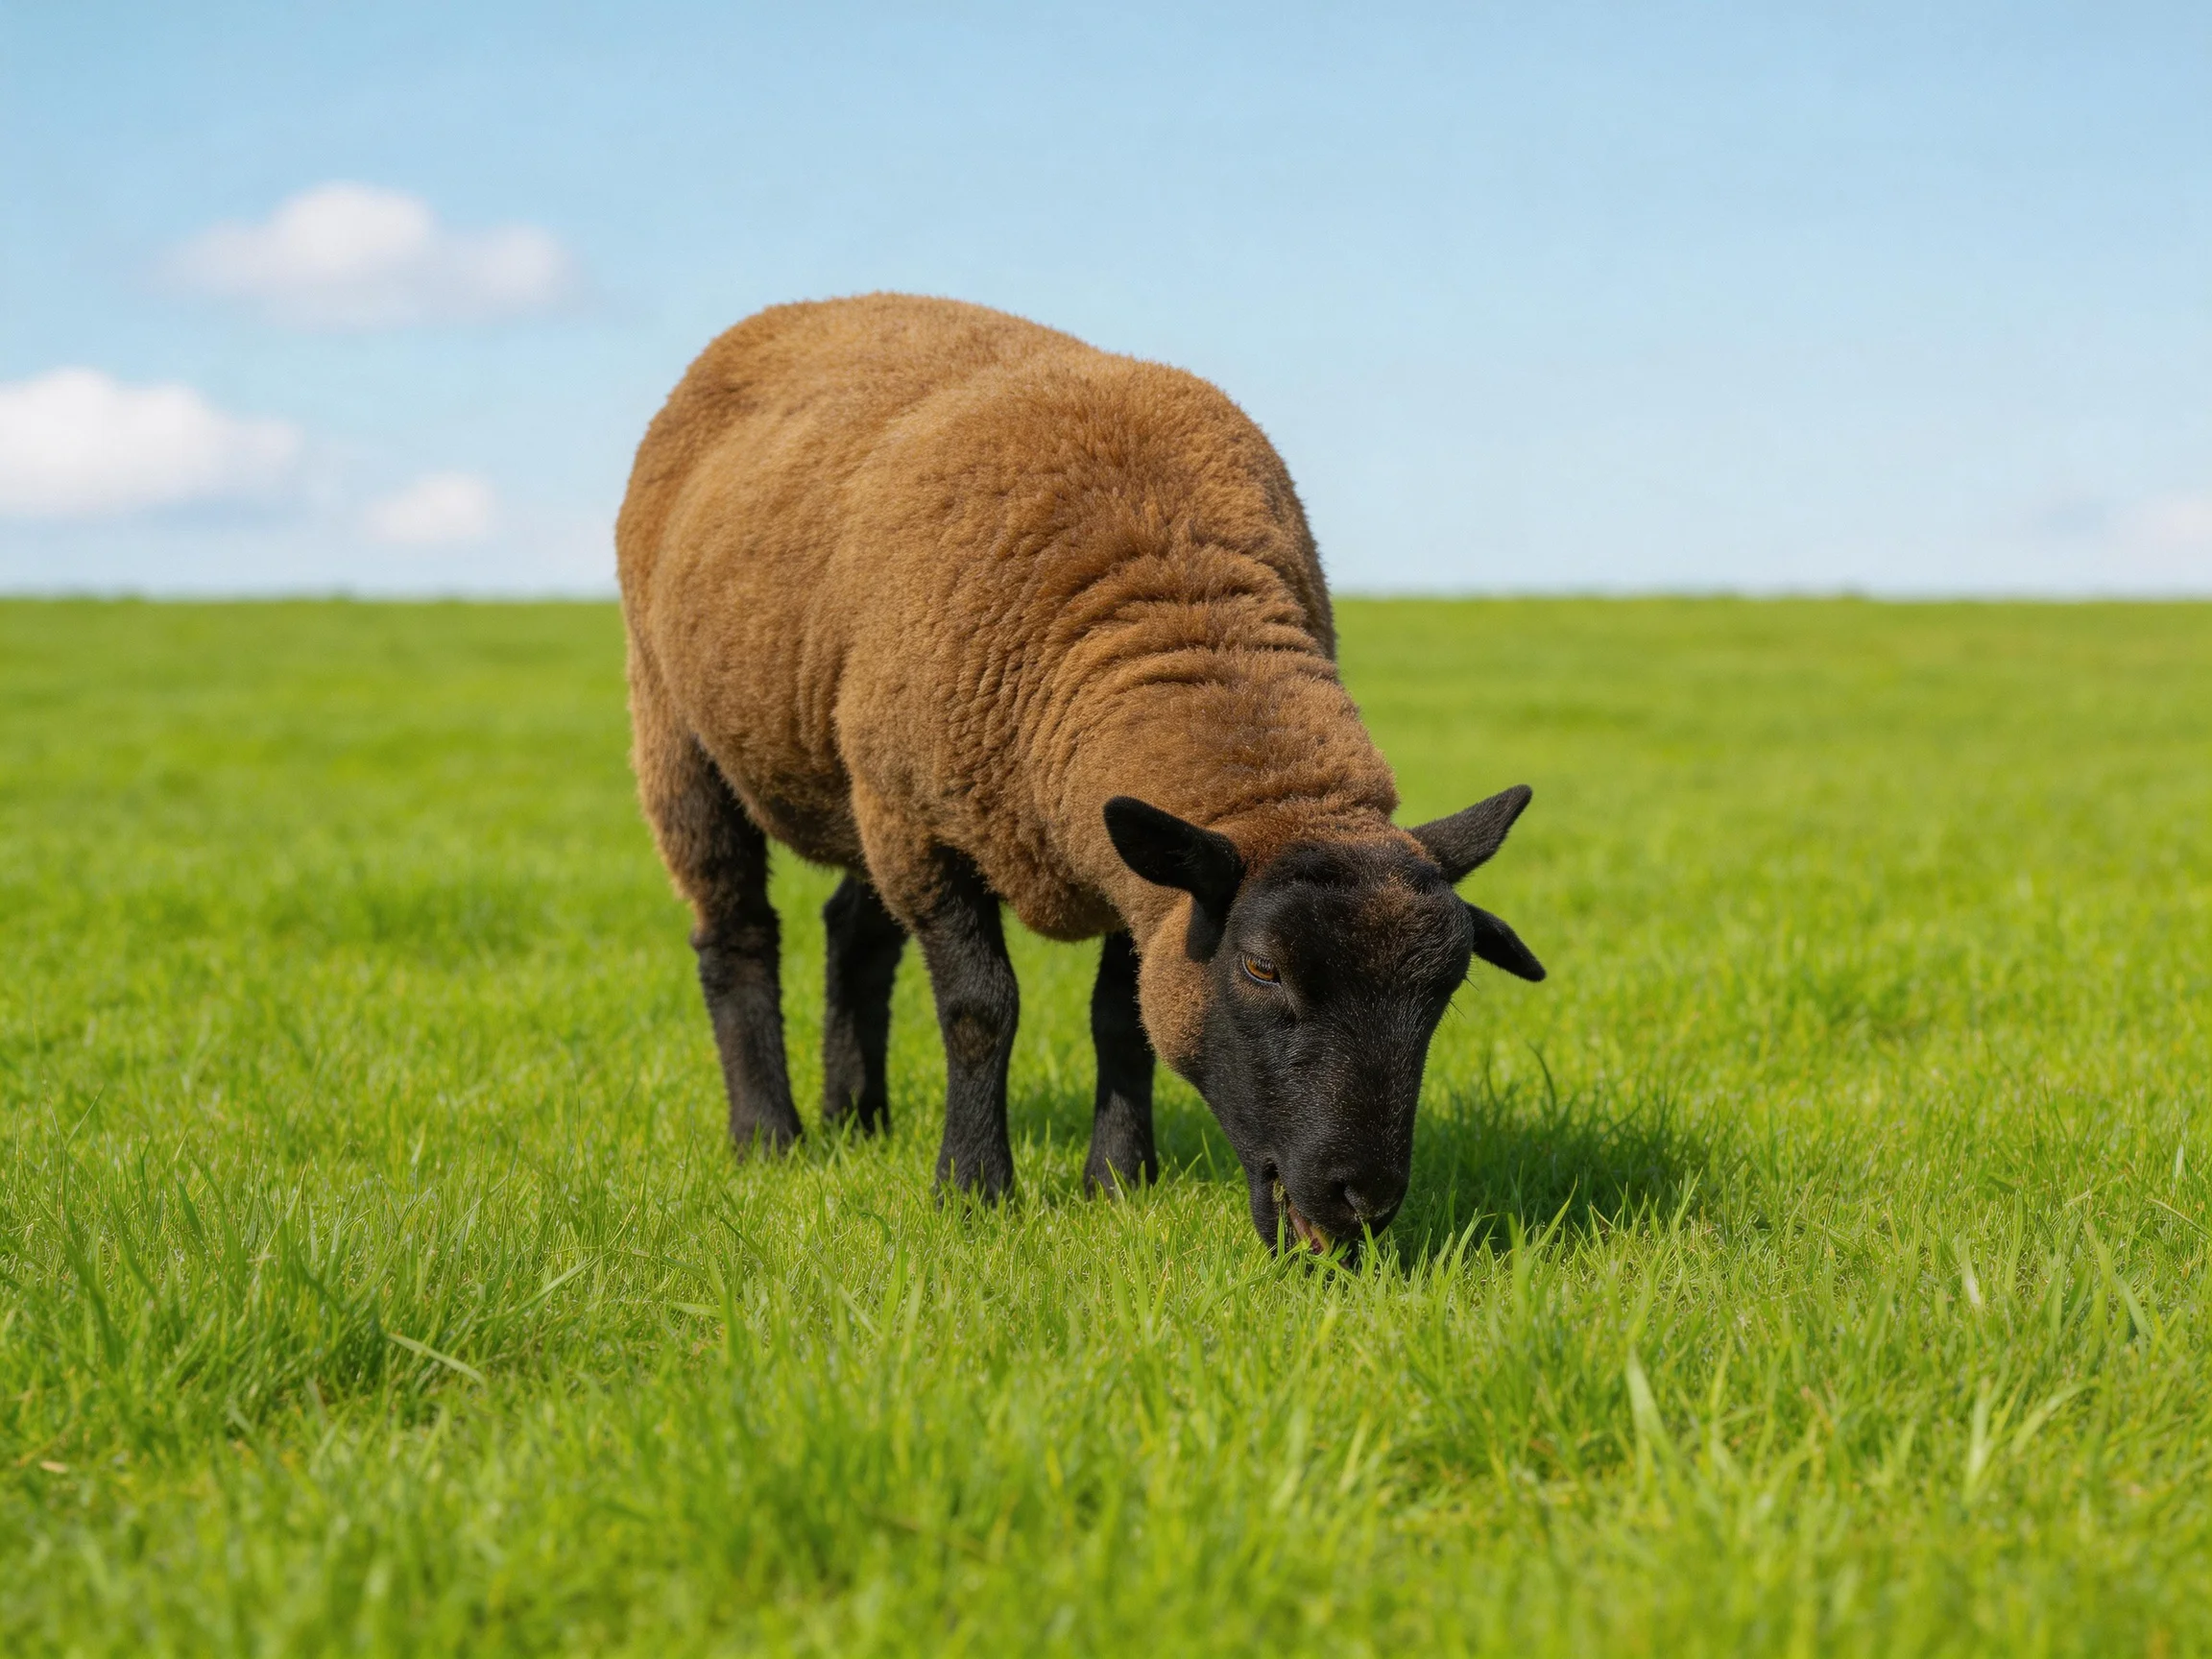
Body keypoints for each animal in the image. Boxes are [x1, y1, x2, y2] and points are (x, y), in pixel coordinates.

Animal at [616, 293, 1544, 1253]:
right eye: (1261, 970)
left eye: (1446, 988)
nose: (1362, 1201)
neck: (1178, 610)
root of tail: (794, 311)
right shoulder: (928, 827)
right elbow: (980, 1011)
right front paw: (973, 1191)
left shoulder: (1134, 871)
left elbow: (1122, 1018)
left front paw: (1119, 1183)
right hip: (687, 731)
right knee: (736, 933)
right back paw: (771, 1138)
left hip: (861, 781)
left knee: (854, 931)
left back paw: (858, 1121)